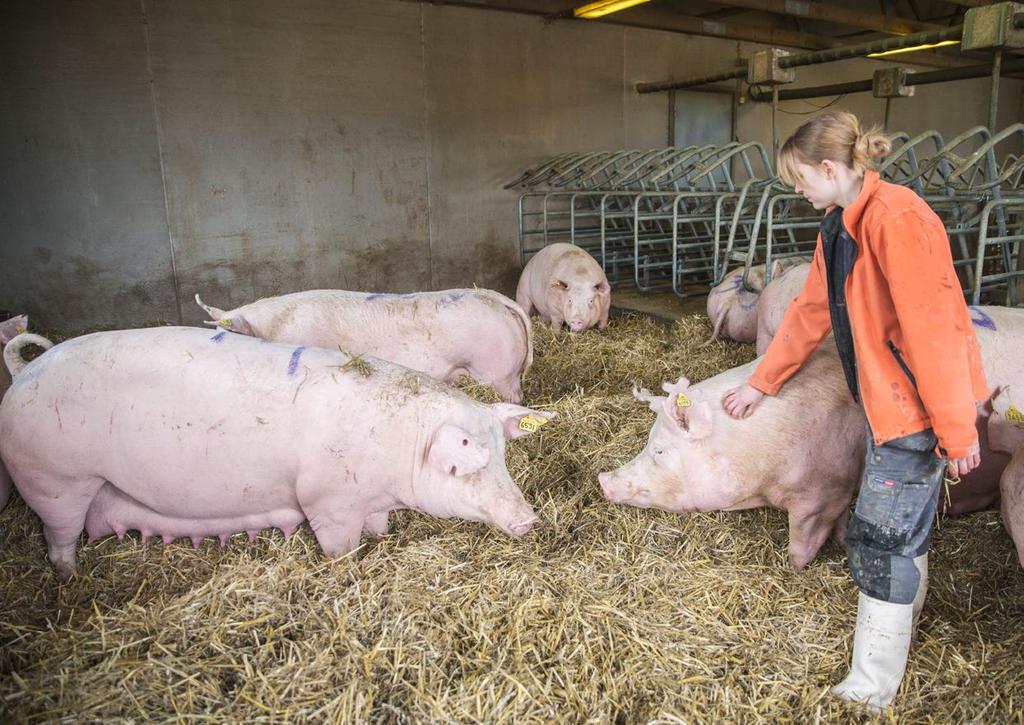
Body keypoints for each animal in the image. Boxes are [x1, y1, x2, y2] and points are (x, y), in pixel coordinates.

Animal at [0, 327, 552, 577]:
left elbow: (378, 529)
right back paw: (70, 578)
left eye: (504, 457)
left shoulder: (369, 501)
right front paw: (347, 568)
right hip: (55, 481)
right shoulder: (328, 502)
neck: (401, 449)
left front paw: (381, 542)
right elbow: (340, 548)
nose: (529, 519)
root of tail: (24, 373)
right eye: (472, 466)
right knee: (59, 537)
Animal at [598, 303, 1024, 569]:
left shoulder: (824, 492)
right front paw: (840, 544)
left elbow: (801, 544)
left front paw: (795, 568)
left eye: (659, 451)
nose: (603, 479)